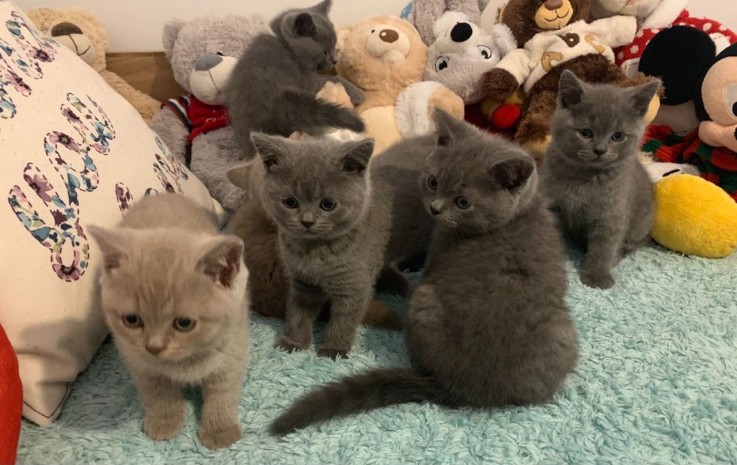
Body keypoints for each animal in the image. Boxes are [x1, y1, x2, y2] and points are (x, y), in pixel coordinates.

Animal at [87, 190, 249, 448]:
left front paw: (220, 430)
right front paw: (165, 421)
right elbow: (158, 391)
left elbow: (222, 392)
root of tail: (160, 195)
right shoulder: (138, 360)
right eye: (131, 319)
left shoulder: (232, 350)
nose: (154, 346)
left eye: (184, 323)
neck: (186, 362)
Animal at [227, 0, 366, 160]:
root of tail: (276, 103)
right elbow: (334, 79)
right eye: (325, 52)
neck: (284, 44)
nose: (335, 61)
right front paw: (358, 93)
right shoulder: (308, 79)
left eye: (334, 47)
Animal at [268, 110, 576, 434]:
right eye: (433, 182)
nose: (436, 208)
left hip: (429, 299)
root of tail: (467, 389)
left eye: (463, 202)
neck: (517, 216)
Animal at [536, 70, 660, 288]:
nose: (600, 150)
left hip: (642, 223)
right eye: (586, 132)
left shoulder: (611, 213)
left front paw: (597, 276)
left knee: (632, 244)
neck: (585, 176)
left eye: (618, 136)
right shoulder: (551, 202)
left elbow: (605, 247)